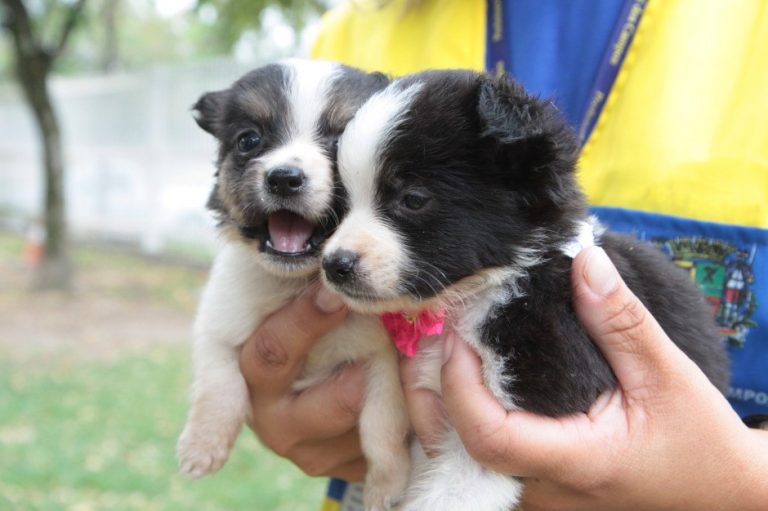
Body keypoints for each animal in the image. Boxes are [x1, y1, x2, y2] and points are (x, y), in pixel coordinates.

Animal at [176, 61, 412, 511]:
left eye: (341, 141)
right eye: (249, 140)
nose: (285, 178)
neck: (297, 283)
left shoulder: (381, 362)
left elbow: (383, 428)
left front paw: (386, 486)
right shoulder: (216, 324)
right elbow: (220, 385)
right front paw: (202, 446)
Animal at [320, 71, 728, 511]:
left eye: (413, 199)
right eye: (343, 201)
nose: (334, 265)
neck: (476, 295)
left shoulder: (531, 393)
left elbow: (448, 494)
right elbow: (380, 416)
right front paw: (384, 481)